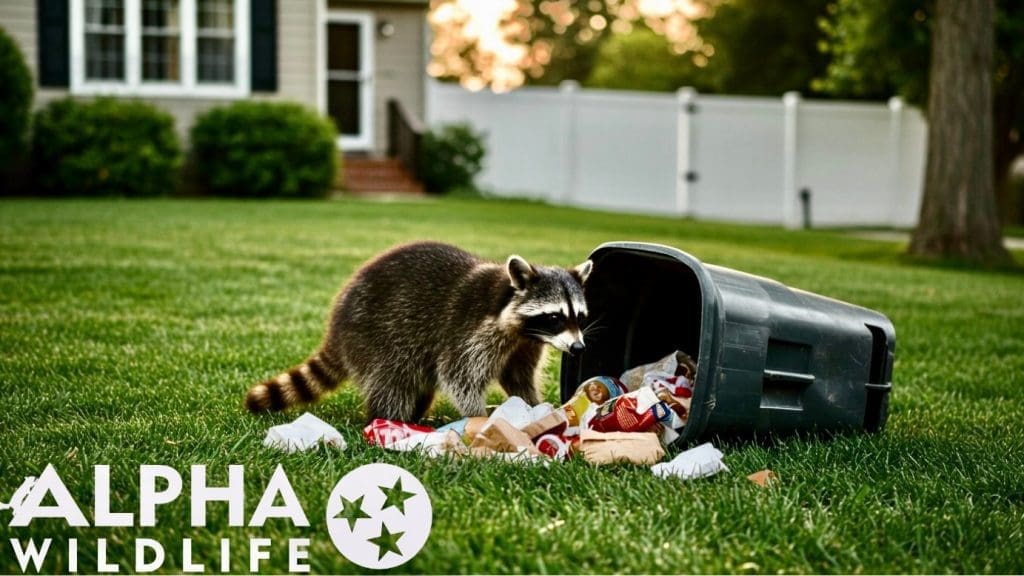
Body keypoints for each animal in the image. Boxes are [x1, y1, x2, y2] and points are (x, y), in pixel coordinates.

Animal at [245, 241, 592, 422]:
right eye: (554, 317)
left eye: (579, 317)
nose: (578, 349)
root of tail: (336, 330)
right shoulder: (470, 331)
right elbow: (459, 376)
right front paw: (478, 417)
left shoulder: (524, 343)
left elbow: (518, 378)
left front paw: (534, 407)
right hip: (376, 336)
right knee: (393, 380)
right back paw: (390, 419)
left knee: (418, 383)